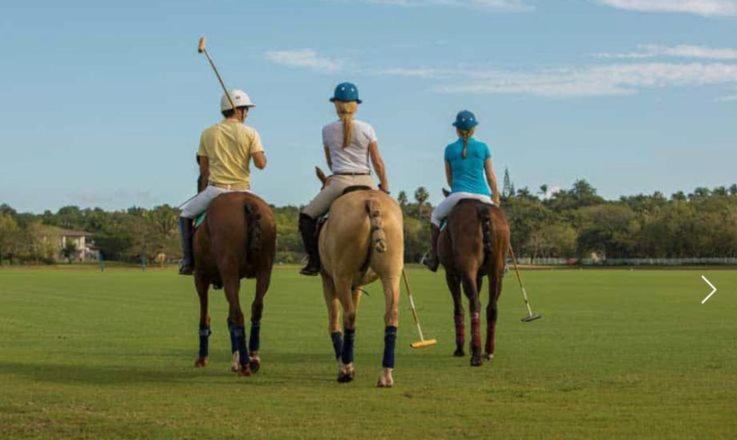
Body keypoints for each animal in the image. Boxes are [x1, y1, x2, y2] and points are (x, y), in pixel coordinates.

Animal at [193, 163, 276, 376]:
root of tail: (247, 202)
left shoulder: (201, 277)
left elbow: (205, 315)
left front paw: (202, 358)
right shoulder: (235, 277)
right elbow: (229, 317)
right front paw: (235, 360)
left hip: (227, 268)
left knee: (239, 314)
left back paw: (246, 364)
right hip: (264, 269)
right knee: (256, 307)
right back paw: (253, 358)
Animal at [312, 167, 402, 386]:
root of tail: (371, 201)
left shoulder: (329, 279)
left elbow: (334, 321)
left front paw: (345, 365)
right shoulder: (356, 284)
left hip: (341, 275)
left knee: (348, 316)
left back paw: (346, 370)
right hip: (391, 273)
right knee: (391, 314)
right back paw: (386, 374)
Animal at [440, 198, 508, 366]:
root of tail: (482, 208)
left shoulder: (451, 273)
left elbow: (458, 308)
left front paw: (460, 348)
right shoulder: (479, 275)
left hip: (467, 265)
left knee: (474, 303)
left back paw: (476, 355)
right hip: (497, 268)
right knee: (492, 306)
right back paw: (488, 351)